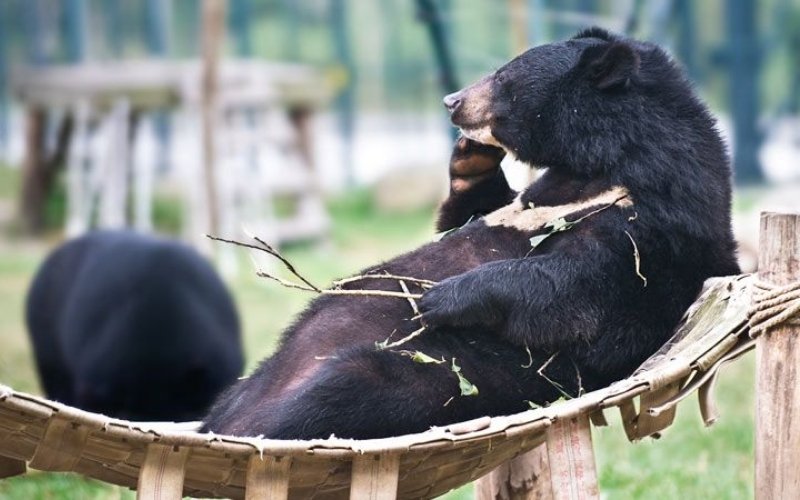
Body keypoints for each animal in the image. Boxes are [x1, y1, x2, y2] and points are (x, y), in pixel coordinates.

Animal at [202, 27, 739, 440]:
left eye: (503, 77)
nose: (451, 101)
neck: (606, 162)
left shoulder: (656, 225)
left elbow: (576, 292)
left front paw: (440, 298)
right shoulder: (544, 197)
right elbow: (467, 217)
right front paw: (470, 158)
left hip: (425, 376)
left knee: (337, 395)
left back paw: (256, 430)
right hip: (254, 378)